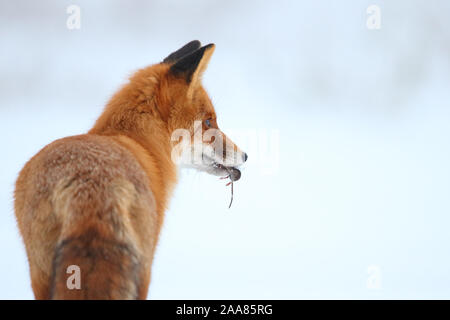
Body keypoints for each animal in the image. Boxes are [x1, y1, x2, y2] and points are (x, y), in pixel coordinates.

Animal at [14, 41, 248, 298]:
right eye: (208, 122)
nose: (245, 156)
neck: (140, 142)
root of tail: (88, 184)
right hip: (142, 270)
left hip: (40, 273)